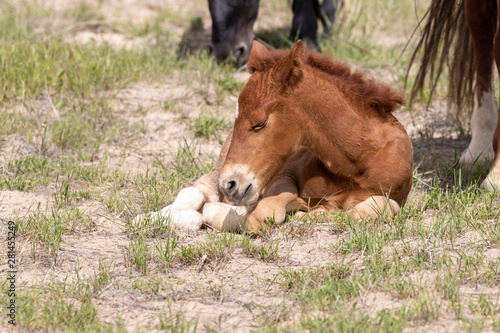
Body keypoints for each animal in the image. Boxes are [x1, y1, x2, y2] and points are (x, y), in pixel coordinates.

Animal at [137, 40, 414, 231]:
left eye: (259, 123)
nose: (230, 184)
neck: (356, 163)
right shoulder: (281, 176)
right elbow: (264, 211)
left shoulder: (394, 195)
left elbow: (370, 210)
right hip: (219, 169)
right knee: (196, 192)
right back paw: (149, 218)